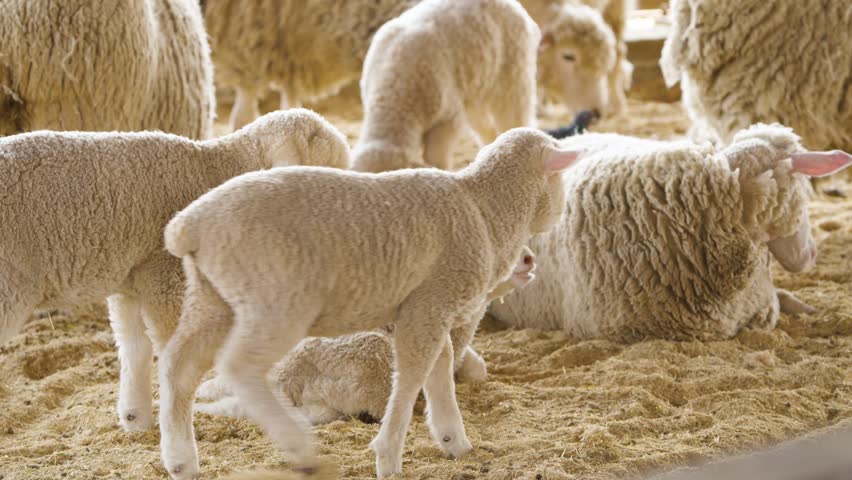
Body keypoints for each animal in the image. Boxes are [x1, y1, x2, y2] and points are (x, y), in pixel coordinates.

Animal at [0, 109, 349, 434]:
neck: (219, 168)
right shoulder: (166, 274)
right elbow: (175, 355)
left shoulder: (132, 277)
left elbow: (134, 348)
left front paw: (136, 419)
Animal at [351, 0, 542, 173]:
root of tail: (513, 4)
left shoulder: (447, 116)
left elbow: (436, 155)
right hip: (475, 87)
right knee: (485, 126)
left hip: (514, 67)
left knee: (515, 111)